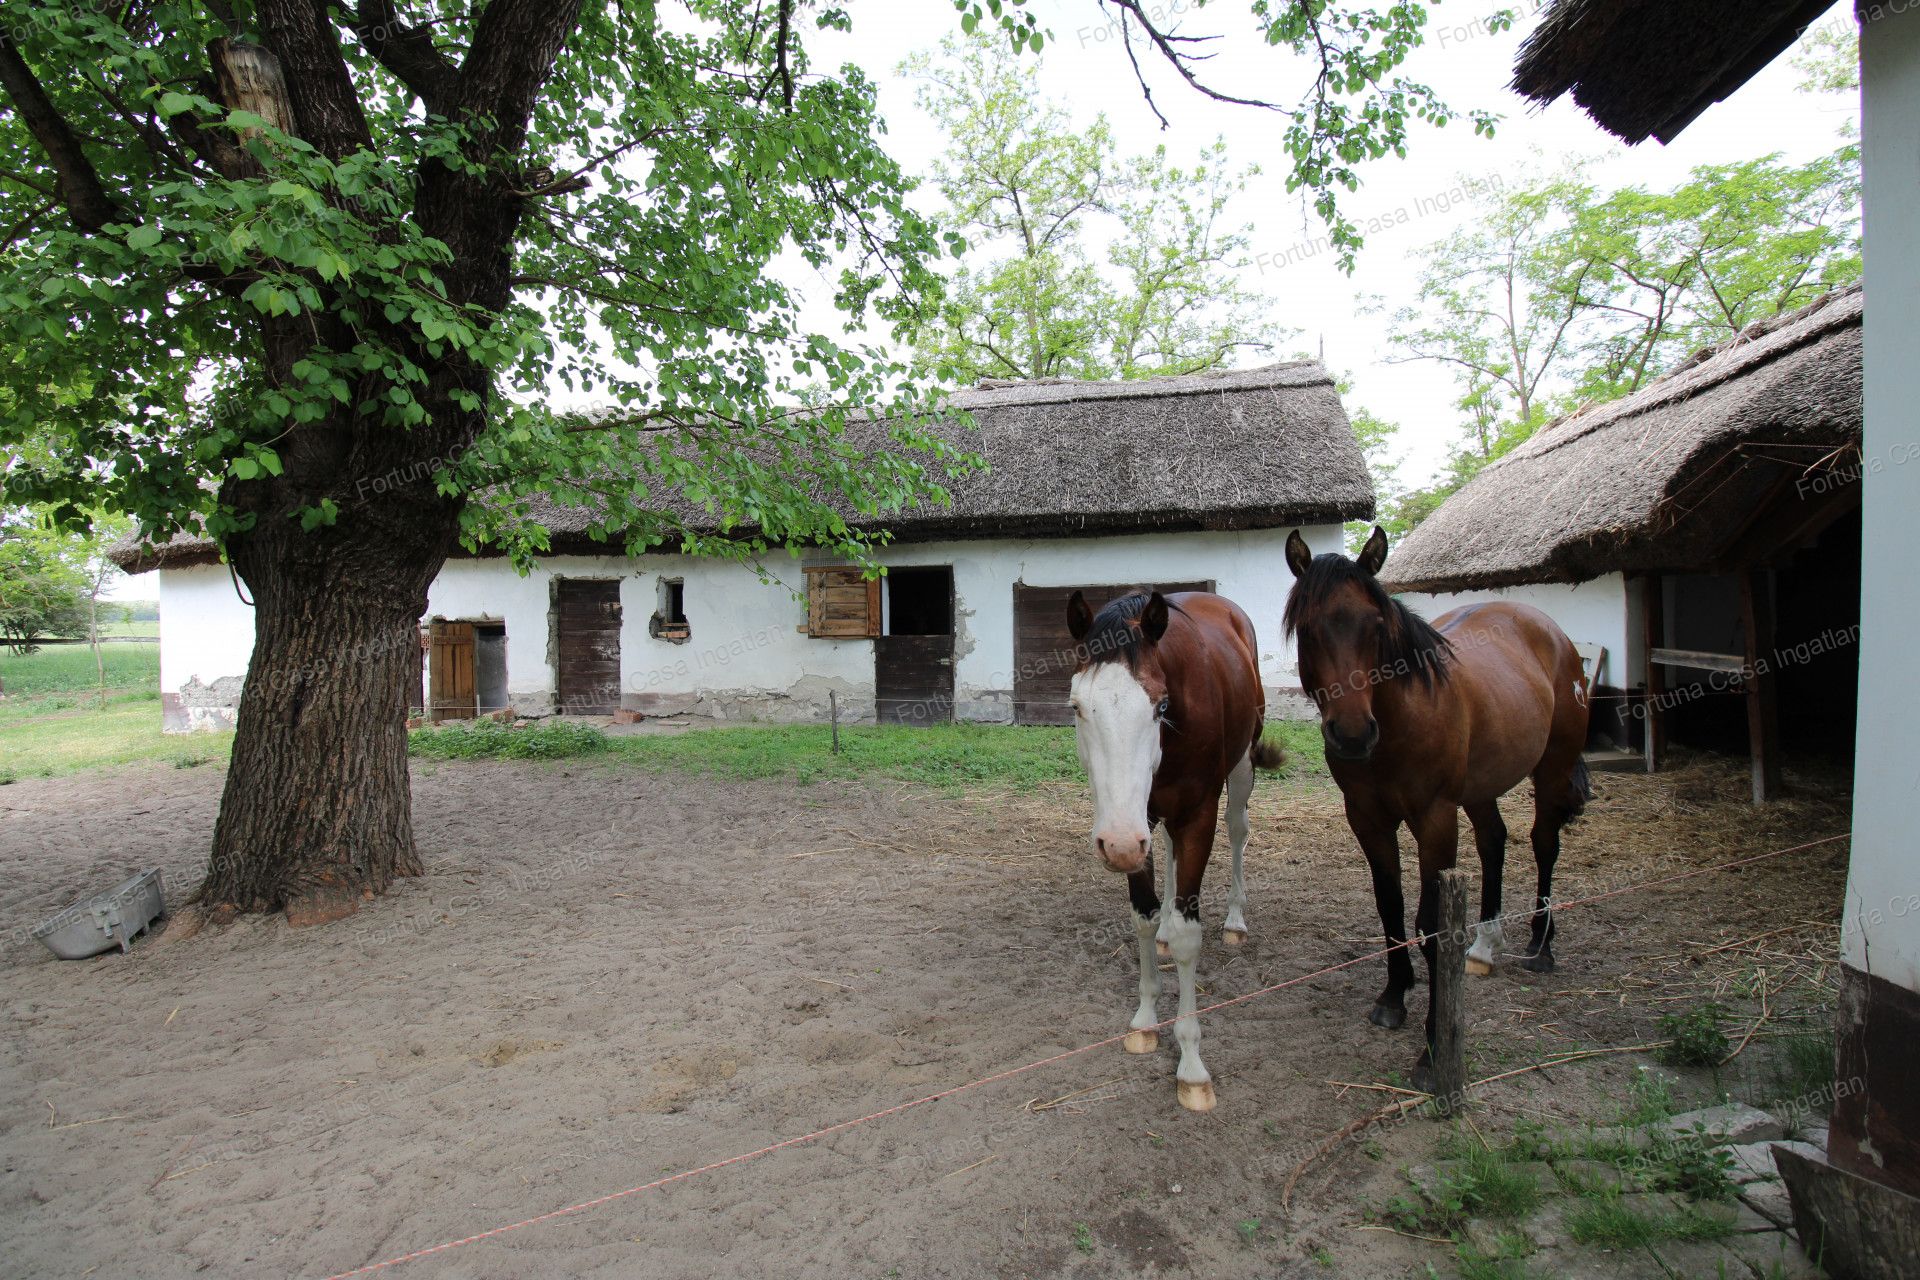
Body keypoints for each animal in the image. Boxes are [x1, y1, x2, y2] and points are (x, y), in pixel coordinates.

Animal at [1075, 587, 1282, 1113]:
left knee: (1238, 830)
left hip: (1241, 768)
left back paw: (1235, 919)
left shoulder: (1196, 817)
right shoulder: (1135, 823)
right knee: (1166, 851)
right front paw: (1146, 1018)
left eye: (1160, 705)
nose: (1117, 842)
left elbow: (1191, 938)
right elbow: (1143, 918)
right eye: (1077, 707)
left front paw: (1190, 1063)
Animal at [1290, 529, 1589, 1082]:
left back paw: (1541, 944)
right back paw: (1485, 945)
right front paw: (1393, 996)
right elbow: (1390, 908)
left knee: (1544, 843)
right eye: (1307, 629)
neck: (1400, 719)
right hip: (1480, 788)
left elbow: (1431, 926)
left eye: (1377, 624)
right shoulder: (1367, 819)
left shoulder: (1434, 820)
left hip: (1552, 769)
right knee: (1494, 843)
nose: (1353, 734)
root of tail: (1551, 632)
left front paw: (1432, 1046)